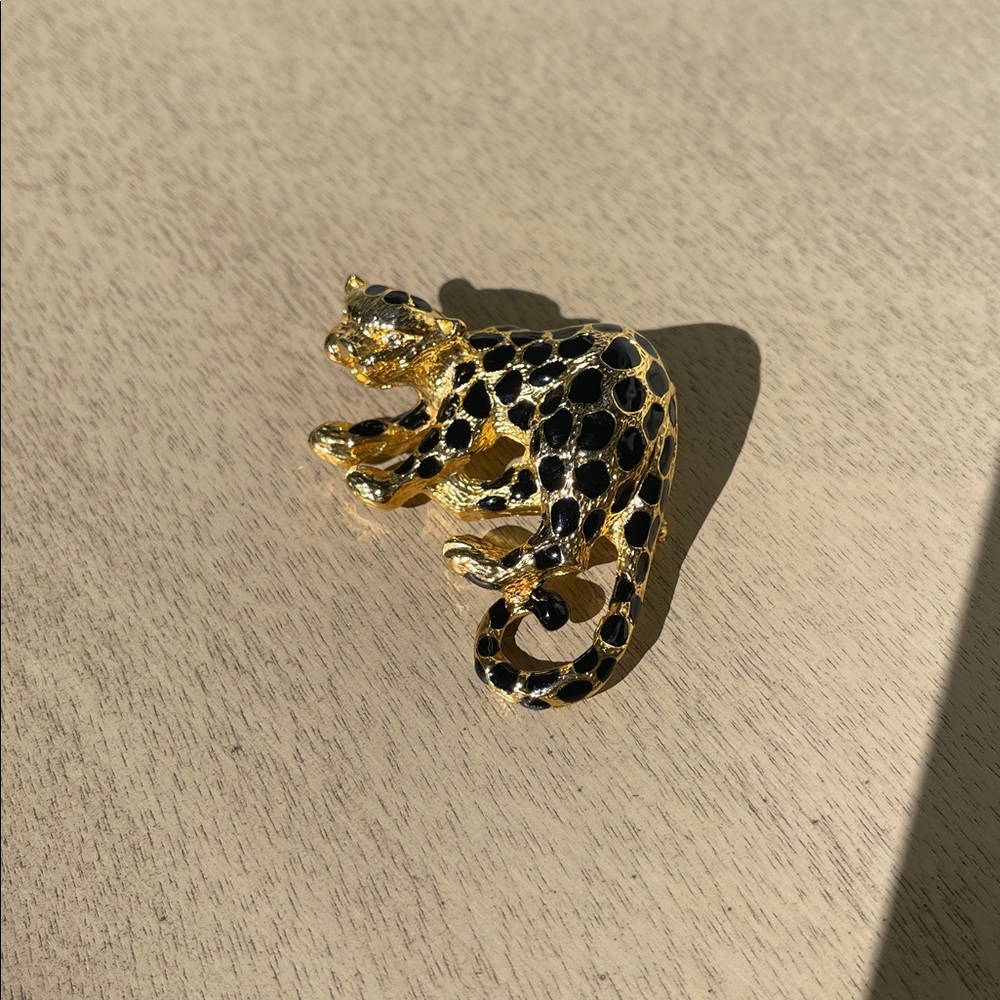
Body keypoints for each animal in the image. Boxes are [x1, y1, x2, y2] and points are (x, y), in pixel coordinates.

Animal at [310, 274, 677, 709]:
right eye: (351, 315)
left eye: (395, 338)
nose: (344, 346)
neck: (441, 367)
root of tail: (665, 425)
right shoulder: (429, 410)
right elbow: (391, 428)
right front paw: (339, 439)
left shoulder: (462, 422)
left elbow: (421, 460)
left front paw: (375, 484)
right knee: (517, 500)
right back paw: (458, 496)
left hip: (569, 447)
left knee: (563, 547)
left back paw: (470, 554)